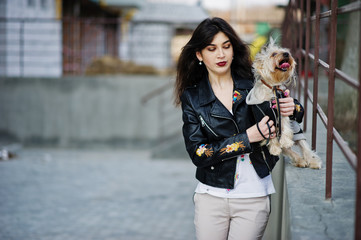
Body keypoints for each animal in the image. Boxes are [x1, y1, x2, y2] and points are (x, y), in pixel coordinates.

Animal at [246, 38, 320, 169]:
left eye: (286, 52)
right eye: (274, 54)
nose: (286, 54)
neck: (272, 88)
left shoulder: (283, 110)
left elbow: (285, 126)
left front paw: (285, 140)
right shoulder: (264, 117)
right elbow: (271, 134)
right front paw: (275, 149)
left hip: (297, 131)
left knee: (304, 147)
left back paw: (312, 162)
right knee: (290, 151)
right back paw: (299, 160)